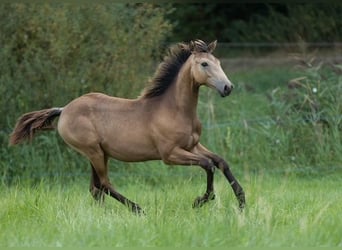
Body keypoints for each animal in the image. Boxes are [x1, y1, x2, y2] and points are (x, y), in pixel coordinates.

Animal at [10, 40, 246, 214]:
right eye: (204, 64)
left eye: (218, 61)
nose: (228, 87)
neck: (173, 109)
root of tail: (64, 109)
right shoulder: (170, 154)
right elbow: (208, 164)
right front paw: (200, 200)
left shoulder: (193, 145)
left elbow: (221, 162)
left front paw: (242, 201)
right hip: (93, 152)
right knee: (104, 184)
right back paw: (138, 210)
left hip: (98, 154)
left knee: (95, 188)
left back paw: (104, 215)